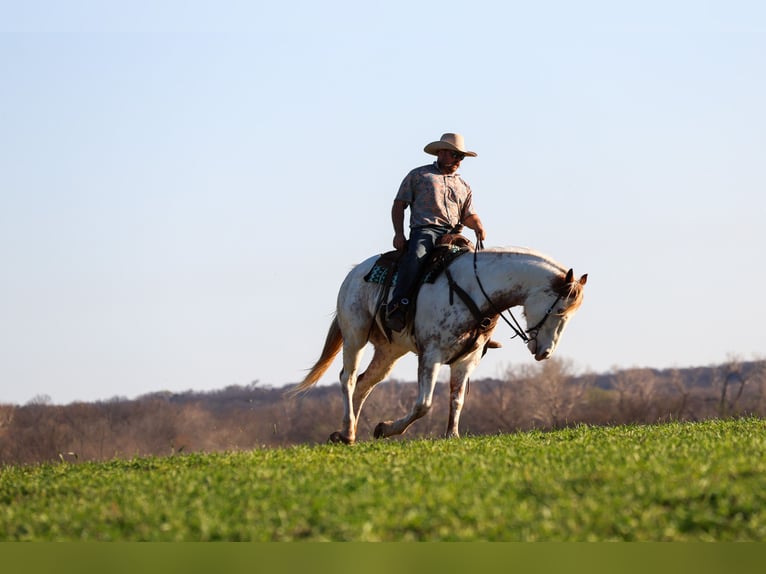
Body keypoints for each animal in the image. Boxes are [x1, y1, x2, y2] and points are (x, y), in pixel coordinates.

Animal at [288, 246, 587, 444]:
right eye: (559, 310)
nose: (545, 352)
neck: (474, 291)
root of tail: (354, 273)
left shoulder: (466, 360)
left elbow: (457, 399)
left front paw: (451, 435)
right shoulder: (431, 355)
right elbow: (424, 404)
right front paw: (386, 428)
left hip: (389, 352)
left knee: (364, 384)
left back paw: (347, 432)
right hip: (355, 336)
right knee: (348, 379)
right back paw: (348, 433)